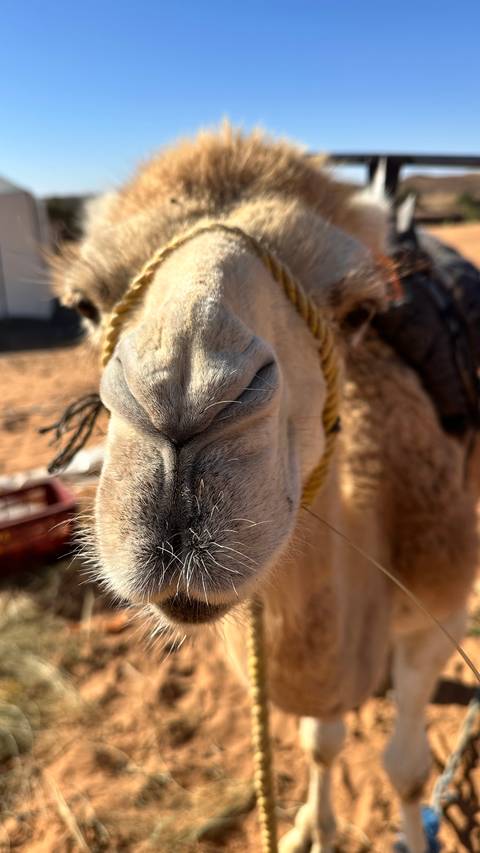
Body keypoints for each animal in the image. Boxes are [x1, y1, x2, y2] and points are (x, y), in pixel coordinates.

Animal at [54, 126, 478, 852]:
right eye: (84, 305)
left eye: (361, 310)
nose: (180, 401)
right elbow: (322, 740)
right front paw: (314, 826)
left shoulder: (438, 609)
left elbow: (406, 770)